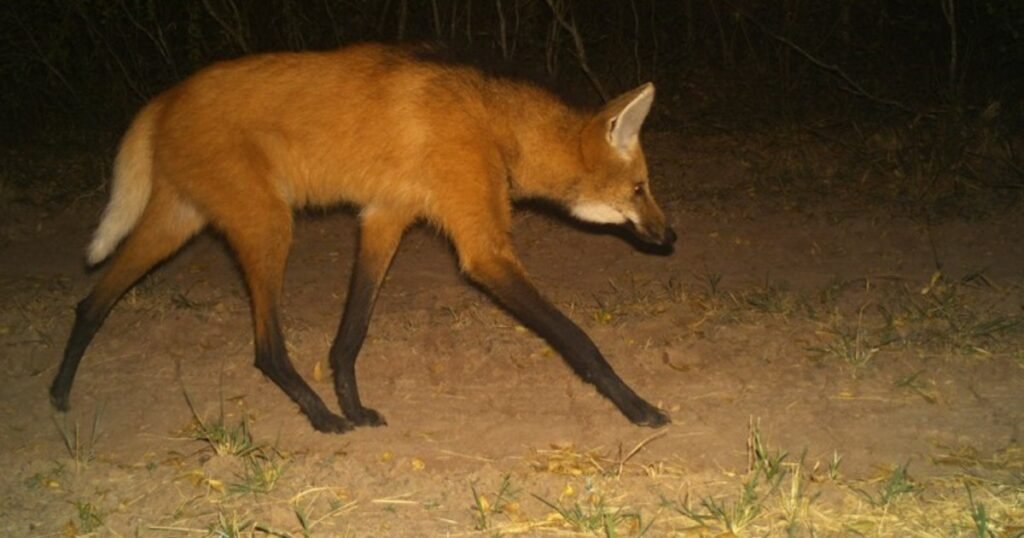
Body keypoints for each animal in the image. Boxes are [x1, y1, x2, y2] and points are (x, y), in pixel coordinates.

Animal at [51, 44, 675, 434]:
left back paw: (59, 391)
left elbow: (349, 336)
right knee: (265, 351)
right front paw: (638, 406)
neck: (496, 126)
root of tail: (166, 96)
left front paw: (354, 404)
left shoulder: (382, 218)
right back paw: (319, 417)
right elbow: (579, 341)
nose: (671, 236)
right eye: (640, 188)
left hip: (177, 223)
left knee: (91, 302)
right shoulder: (482, 252)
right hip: (268, 226)